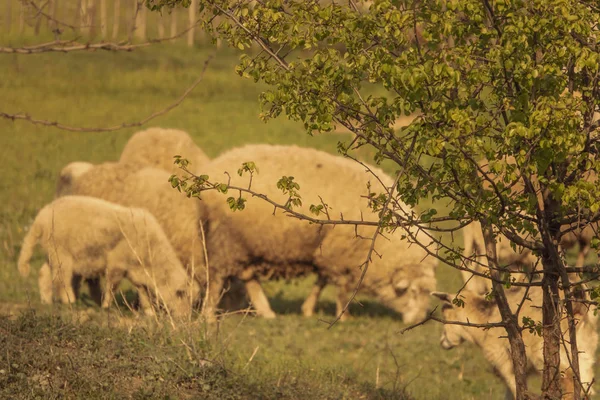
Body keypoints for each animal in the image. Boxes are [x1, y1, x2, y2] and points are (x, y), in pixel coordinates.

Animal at [17, 195, 196, 318]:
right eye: (180, 294)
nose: (185, 318)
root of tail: (41, 218)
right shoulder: (117, 263)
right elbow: (112, 285)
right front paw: (106, 305)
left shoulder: (137, 271)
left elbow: (143, 292)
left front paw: (149, 312)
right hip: (61, 253)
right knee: (62, 279)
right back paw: (70, 301)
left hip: (52, 253)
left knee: (44, 273)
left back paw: (46, 301)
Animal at [195, 144, 438, 322]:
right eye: (413, 292)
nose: (418, 320)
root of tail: (213, 172)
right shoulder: (341, 254)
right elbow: (341, 288)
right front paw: (344, 317)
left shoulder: (328, 252)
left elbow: (321, 282)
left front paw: (308, 309)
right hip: (226, 238)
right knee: (217, 278)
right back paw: (209, 316)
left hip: (245, 243)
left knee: (249, 278)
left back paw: (267, 312)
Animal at [434, 290, 596, 398]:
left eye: (445, 317)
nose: (442, 342)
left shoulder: (502, 362)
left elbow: (516, 389)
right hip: (582, 349)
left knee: (569, 380)